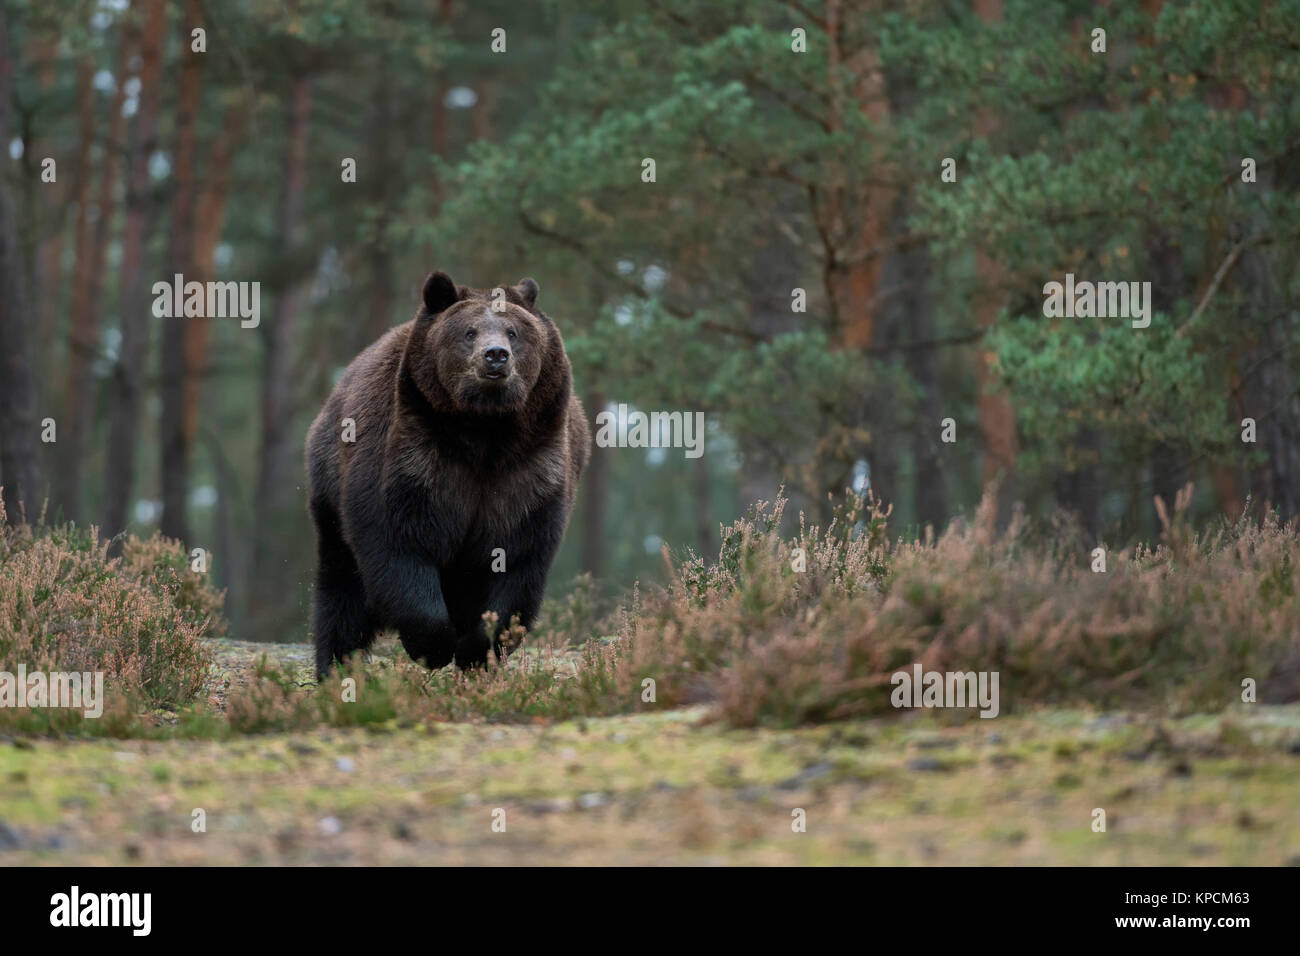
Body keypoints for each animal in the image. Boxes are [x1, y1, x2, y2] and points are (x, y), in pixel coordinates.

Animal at [304, 270, 590, 681]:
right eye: (469, 331)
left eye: (513, 331)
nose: (495, 355)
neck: (484, 433)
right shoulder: (413, 456)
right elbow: (397, 541)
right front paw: (433, 645)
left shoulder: (530, 470)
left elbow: (517, 560)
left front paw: (477, 649)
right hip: (330, 487)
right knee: (342, 587)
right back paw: (337, 666)